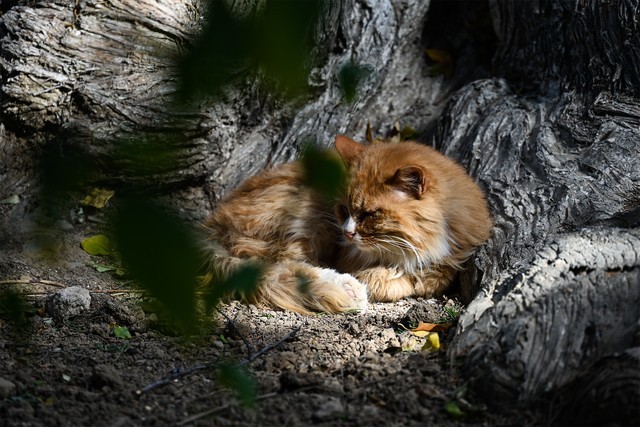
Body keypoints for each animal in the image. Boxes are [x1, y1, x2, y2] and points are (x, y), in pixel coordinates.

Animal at [202, 134, 492, 314]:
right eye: (343, 209)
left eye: (369, 214)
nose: (347, 232)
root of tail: (210, 225)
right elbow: (389, 279)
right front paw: (376, 279)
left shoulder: (452, 255)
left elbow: (430, 278)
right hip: (305, 220)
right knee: (283, 264)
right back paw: (349, 289)